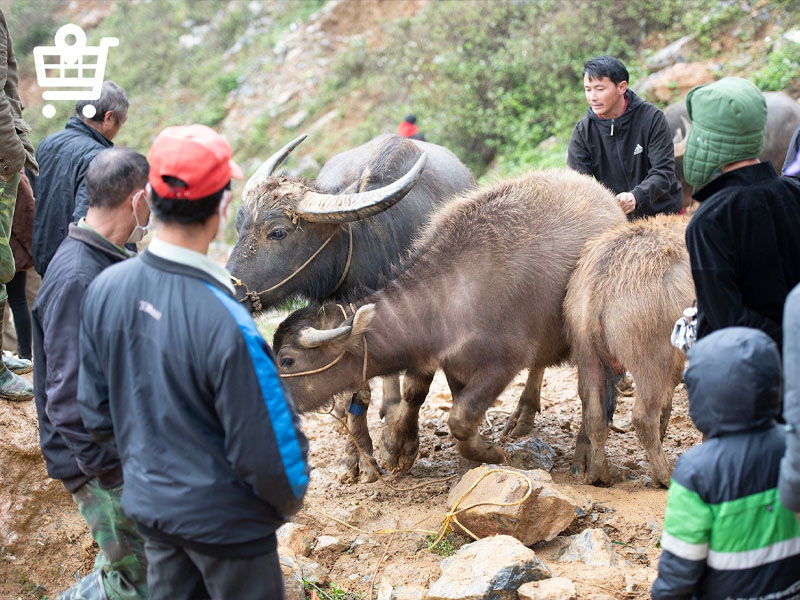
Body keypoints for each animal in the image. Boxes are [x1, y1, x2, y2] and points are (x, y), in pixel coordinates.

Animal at [227, 132, 476, 482]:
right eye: (239, 227)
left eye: (278, 232)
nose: (230, 287)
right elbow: (352, 392)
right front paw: (357, 459)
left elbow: (417, 385)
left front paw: (399, 448)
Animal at [270, 169, 624, 474]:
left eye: (287, 360)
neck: (448, 296)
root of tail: (607, 199)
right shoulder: (454, 365)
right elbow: (453, 404)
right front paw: (467, 460)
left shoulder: (503, 363)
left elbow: (459, 418)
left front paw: (491, 453)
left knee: (592, 393)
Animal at [564, 216, 692, 488]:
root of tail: (599, 286)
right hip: (652, 360)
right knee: (643, 418)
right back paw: (665, 476)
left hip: (587, 353)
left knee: (594, 415)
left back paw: (598, 473)